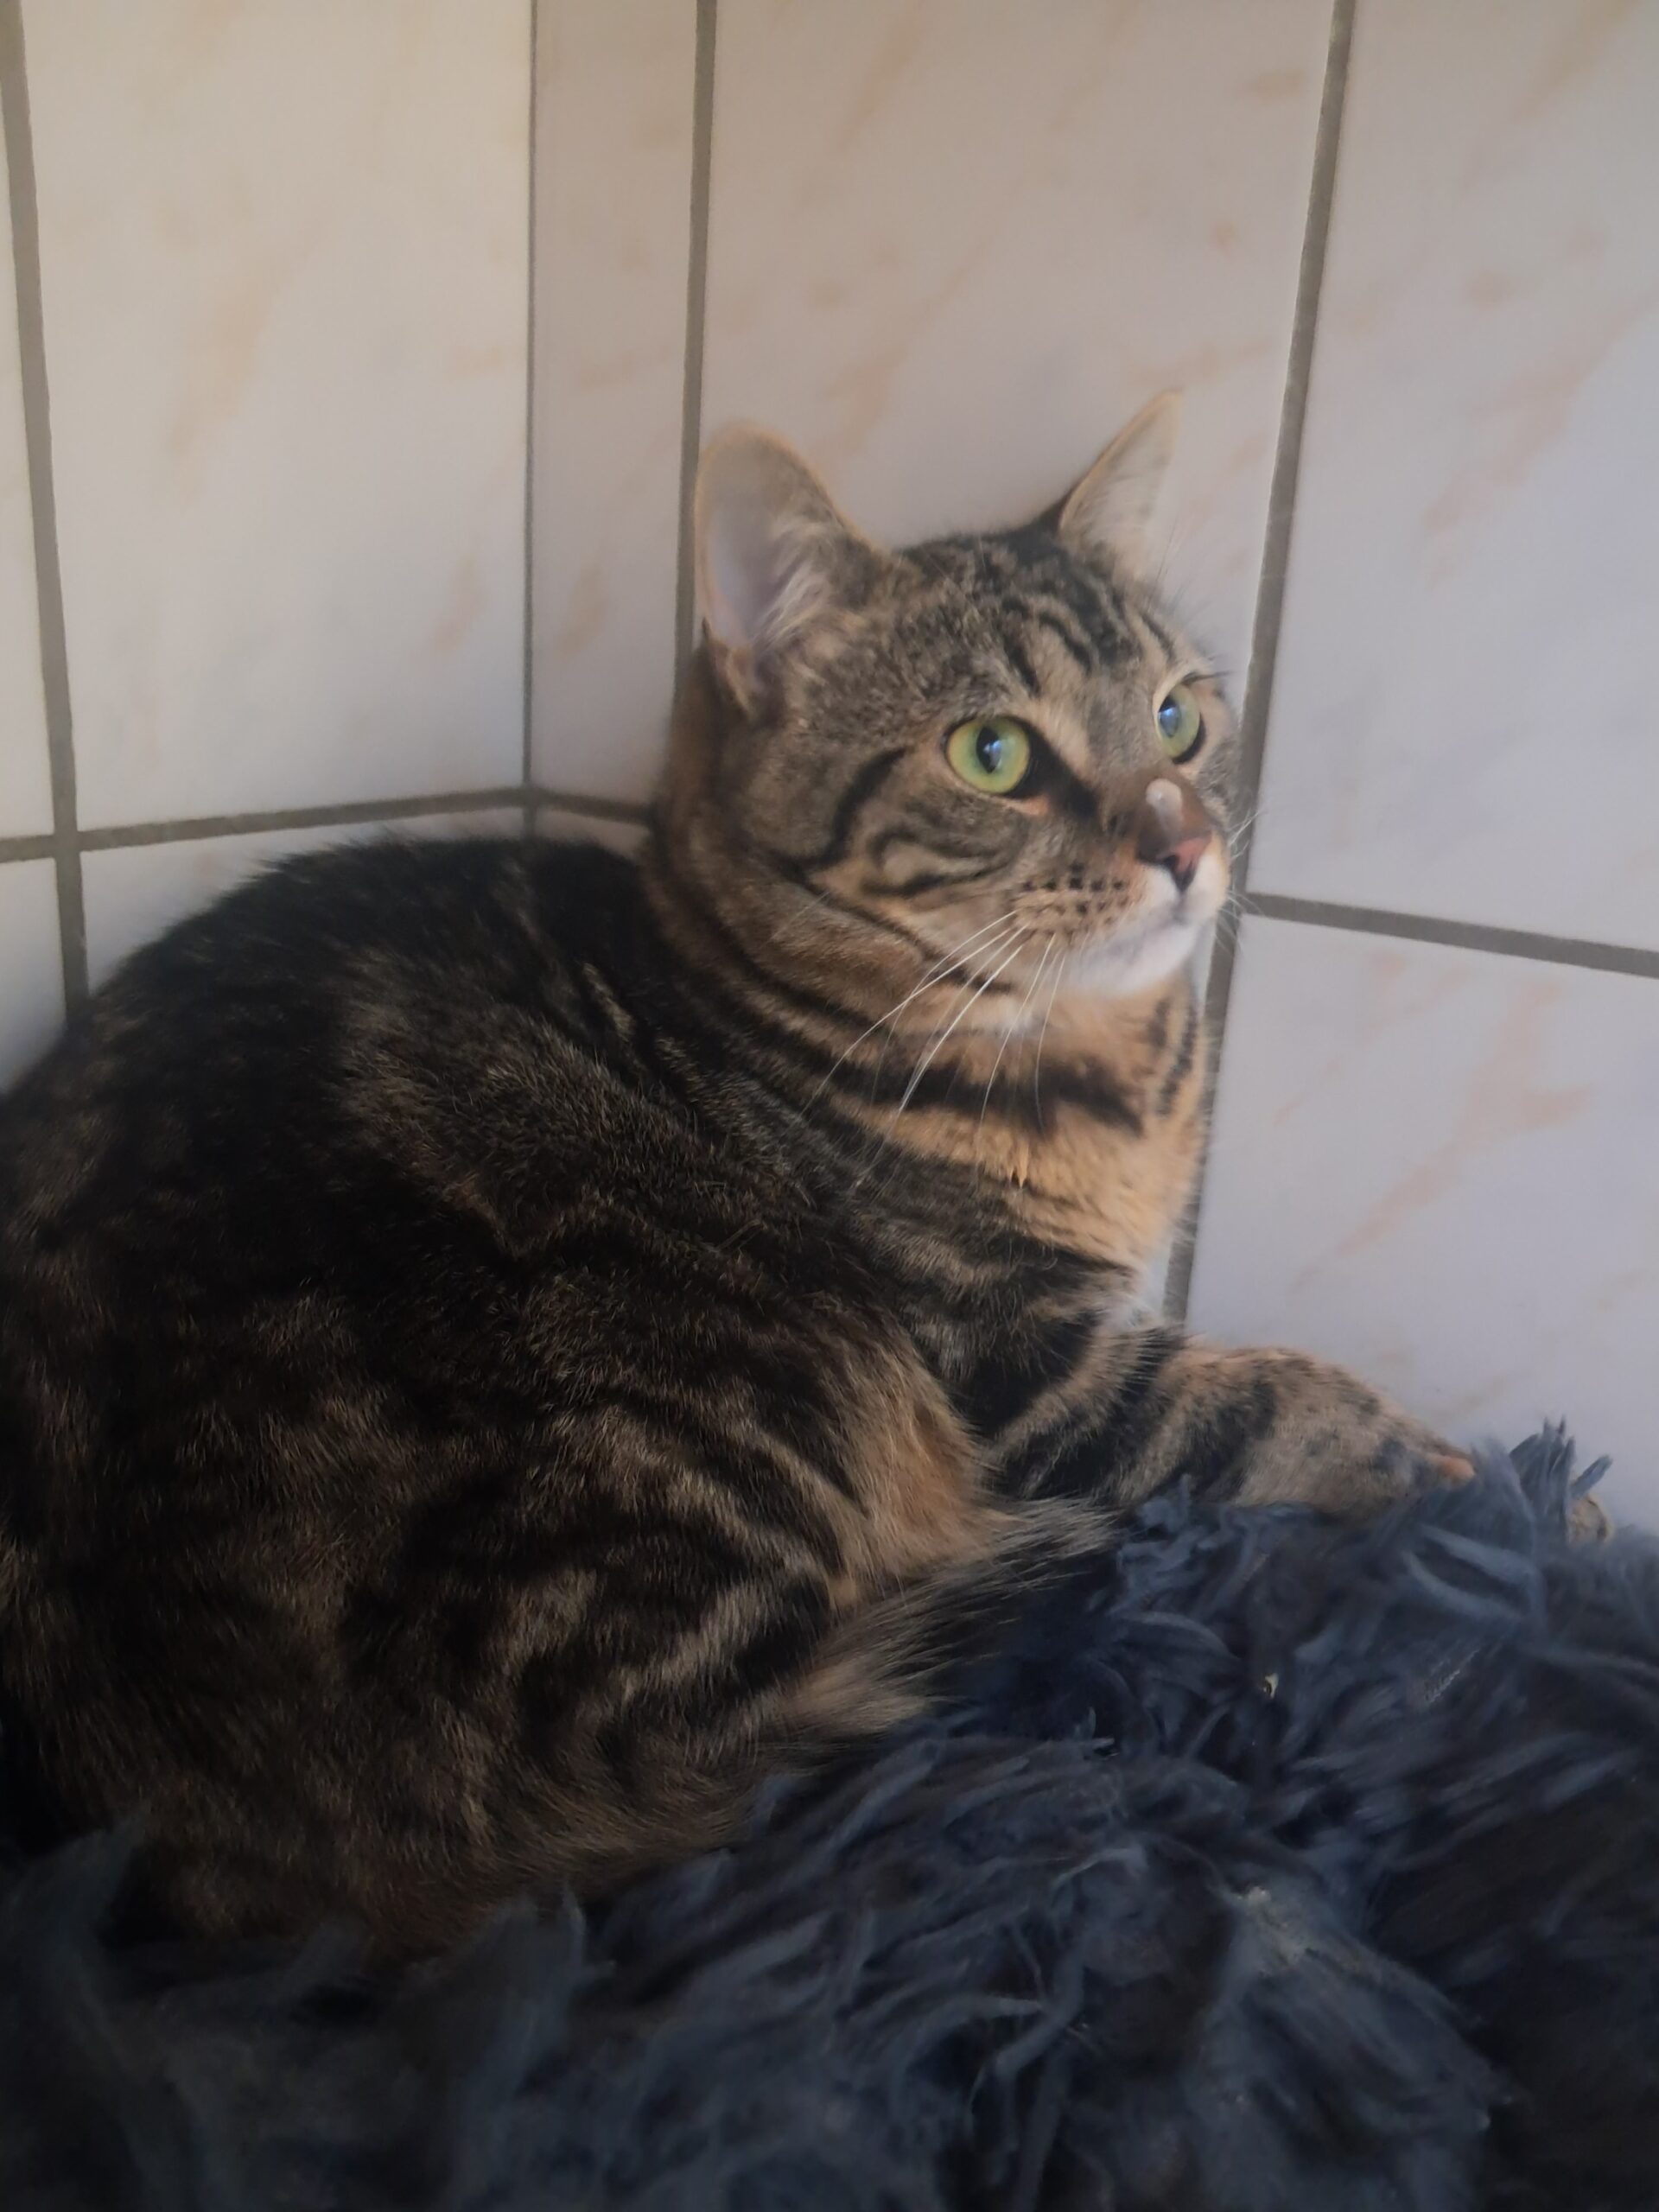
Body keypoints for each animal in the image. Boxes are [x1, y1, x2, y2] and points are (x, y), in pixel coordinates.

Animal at [0, 397, 1470, 1956]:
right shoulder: (1015, 1373)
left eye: (1183, 714)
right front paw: (1455, 1470)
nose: (1188, 842)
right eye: (995, 754)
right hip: (740, 1401)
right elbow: (1263, 1396)